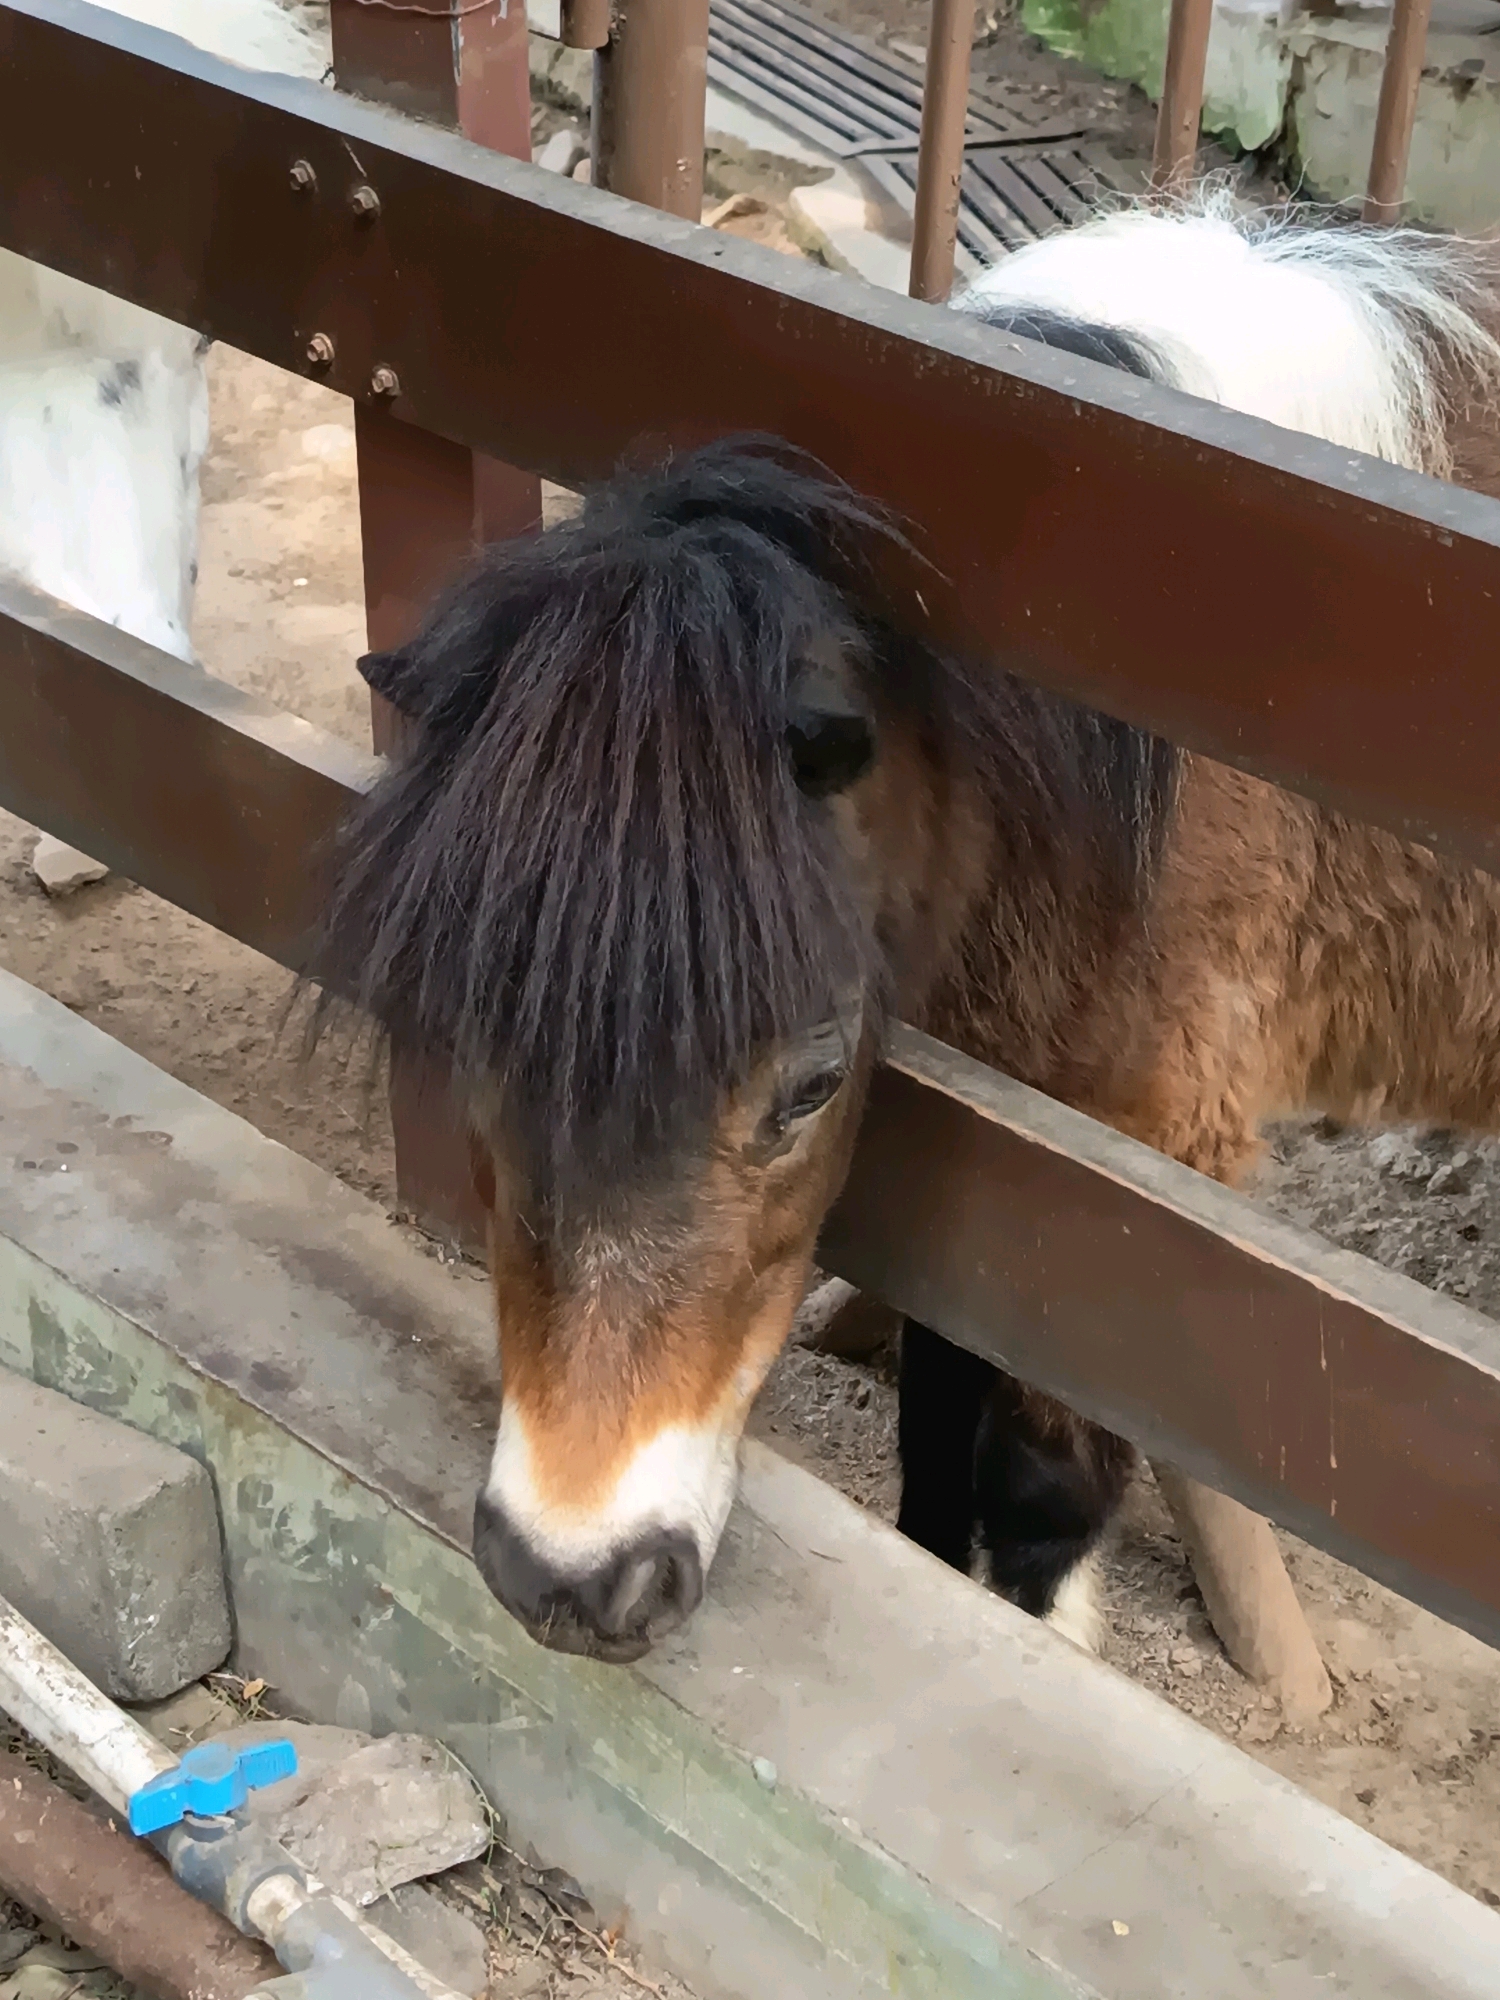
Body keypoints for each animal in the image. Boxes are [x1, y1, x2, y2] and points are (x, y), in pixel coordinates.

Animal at [313, 192, 1500, 1664]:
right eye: (466, 1033)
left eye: (813, 1082)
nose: (573, 1579)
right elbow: (940, 1412)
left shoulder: (1146, 1165)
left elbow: (1045, 1470)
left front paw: (1042, 1636)